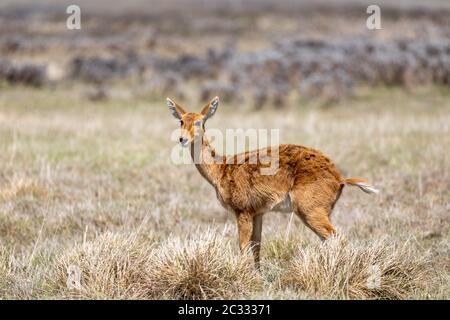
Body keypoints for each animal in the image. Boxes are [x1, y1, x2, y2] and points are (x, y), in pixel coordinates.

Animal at [167, 96, 378, 266]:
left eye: (199, 122)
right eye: (181, 120)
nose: (182, 139)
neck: (222, 169)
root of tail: (340, 178)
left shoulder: (242, 212)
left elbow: (243, 247)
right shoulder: (258, 213)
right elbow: (257, 247)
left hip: (311, 211)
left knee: (338, 238)